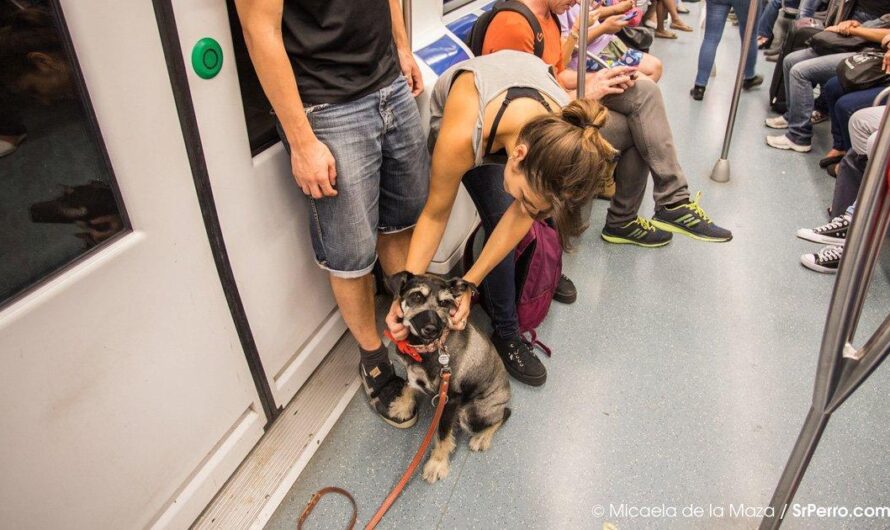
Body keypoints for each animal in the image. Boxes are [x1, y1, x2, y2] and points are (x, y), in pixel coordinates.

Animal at [386, 272, 510, 482]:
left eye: (445, 303)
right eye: (416, 296)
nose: (432, 329)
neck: (428, 348)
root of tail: (507, 397)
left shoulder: (450, 400)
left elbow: (443, 434)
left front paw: (437, 463)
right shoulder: (413, 372)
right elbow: (409, 385)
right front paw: (402, 406)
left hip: (470, 414)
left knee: (503, 416)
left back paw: (481, 438)